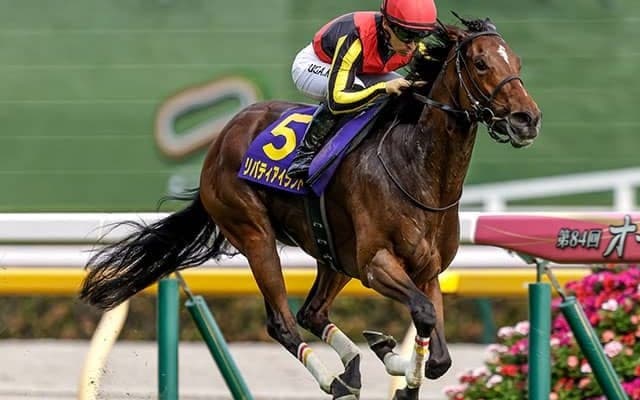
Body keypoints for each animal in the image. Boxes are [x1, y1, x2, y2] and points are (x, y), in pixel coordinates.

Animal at [80, 15, 541, 400]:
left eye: (517, 60)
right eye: (480, 63)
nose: (527, 119)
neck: (416, 168)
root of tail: (223, 136)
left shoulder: (427, 272)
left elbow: (439, 353)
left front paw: (392, 356)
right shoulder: (375, 264)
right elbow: (424, 315)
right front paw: (401, 377)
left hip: (334, 254)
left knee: (313, 311)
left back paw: (357, 363)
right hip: (254, 233)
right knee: (282, 321)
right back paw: (334, 379)